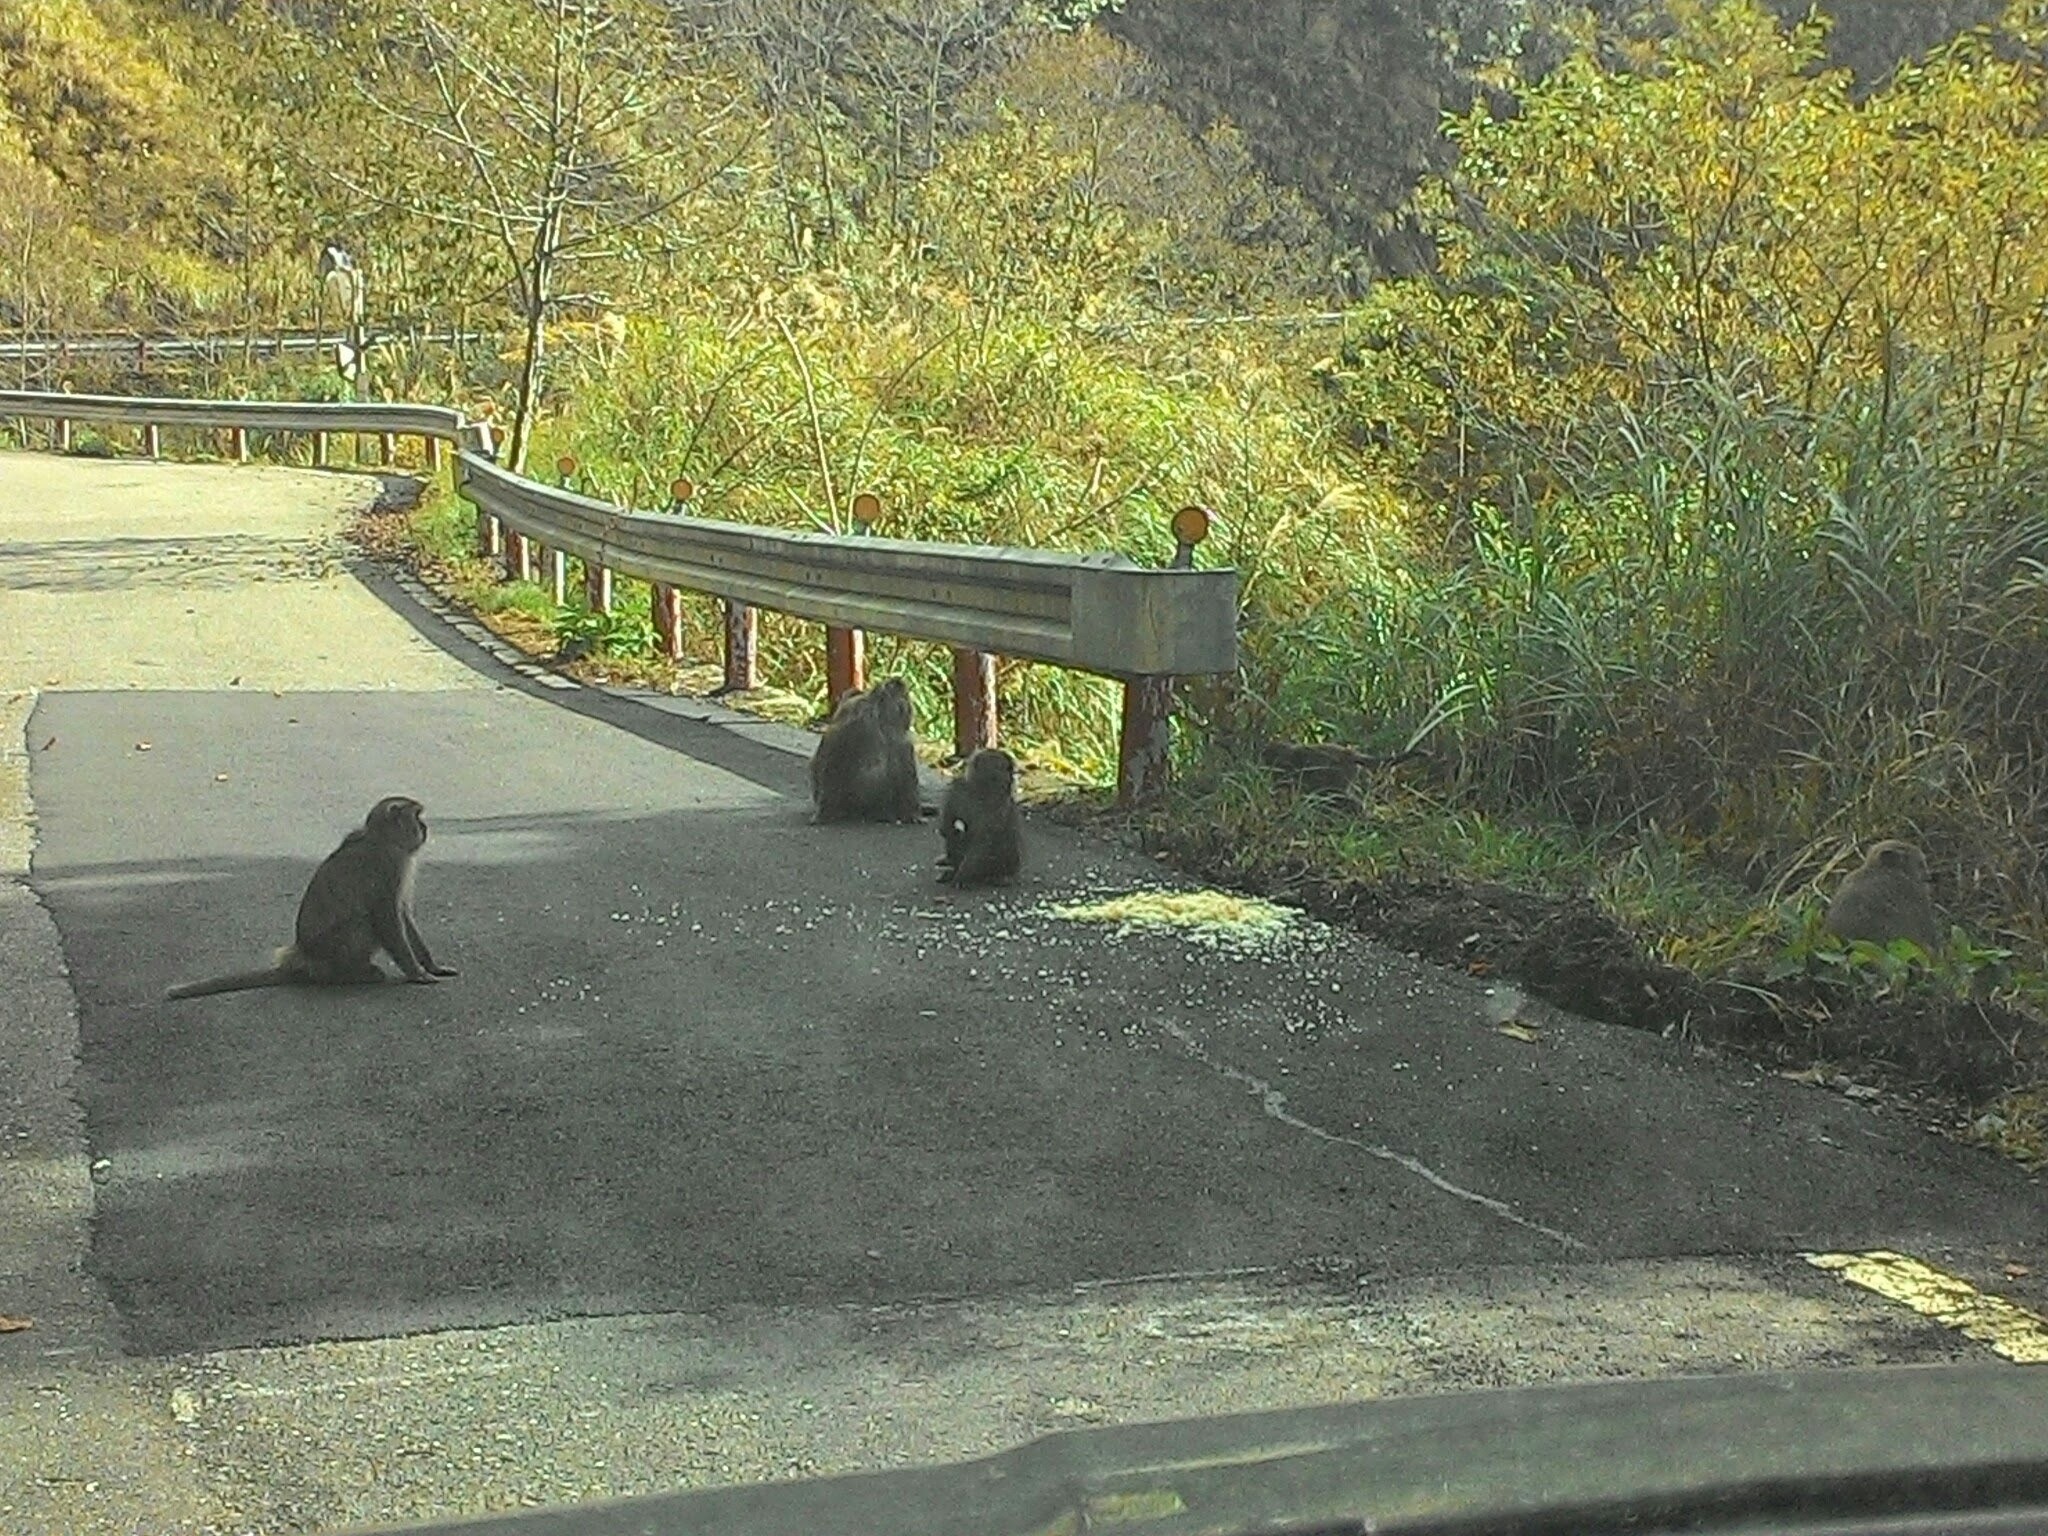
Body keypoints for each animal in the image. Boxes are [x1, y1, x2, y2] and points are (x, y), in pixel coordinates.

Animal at [163, 798, 460, 1003]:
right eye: (416, 817)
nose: (425, 827)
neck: (382, 839)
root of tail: (305, 958)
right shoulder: (388, 866)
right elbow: (387, 917)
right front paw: (417, 973)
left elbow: (403, 914)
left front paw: (430, 964)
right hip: (332, 949)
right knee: (362, 922)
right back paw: (350, 974)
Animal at [937, 749, 1024, 888]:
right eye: (1005, 769)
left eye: (1009, 770)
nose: (1011, 778)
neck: (982, 790)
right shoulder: (959, 787)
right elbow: (947, 825)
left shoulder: (1000, 804)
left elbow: (984, 839)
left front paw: (962, 876)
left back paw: (998, 876)